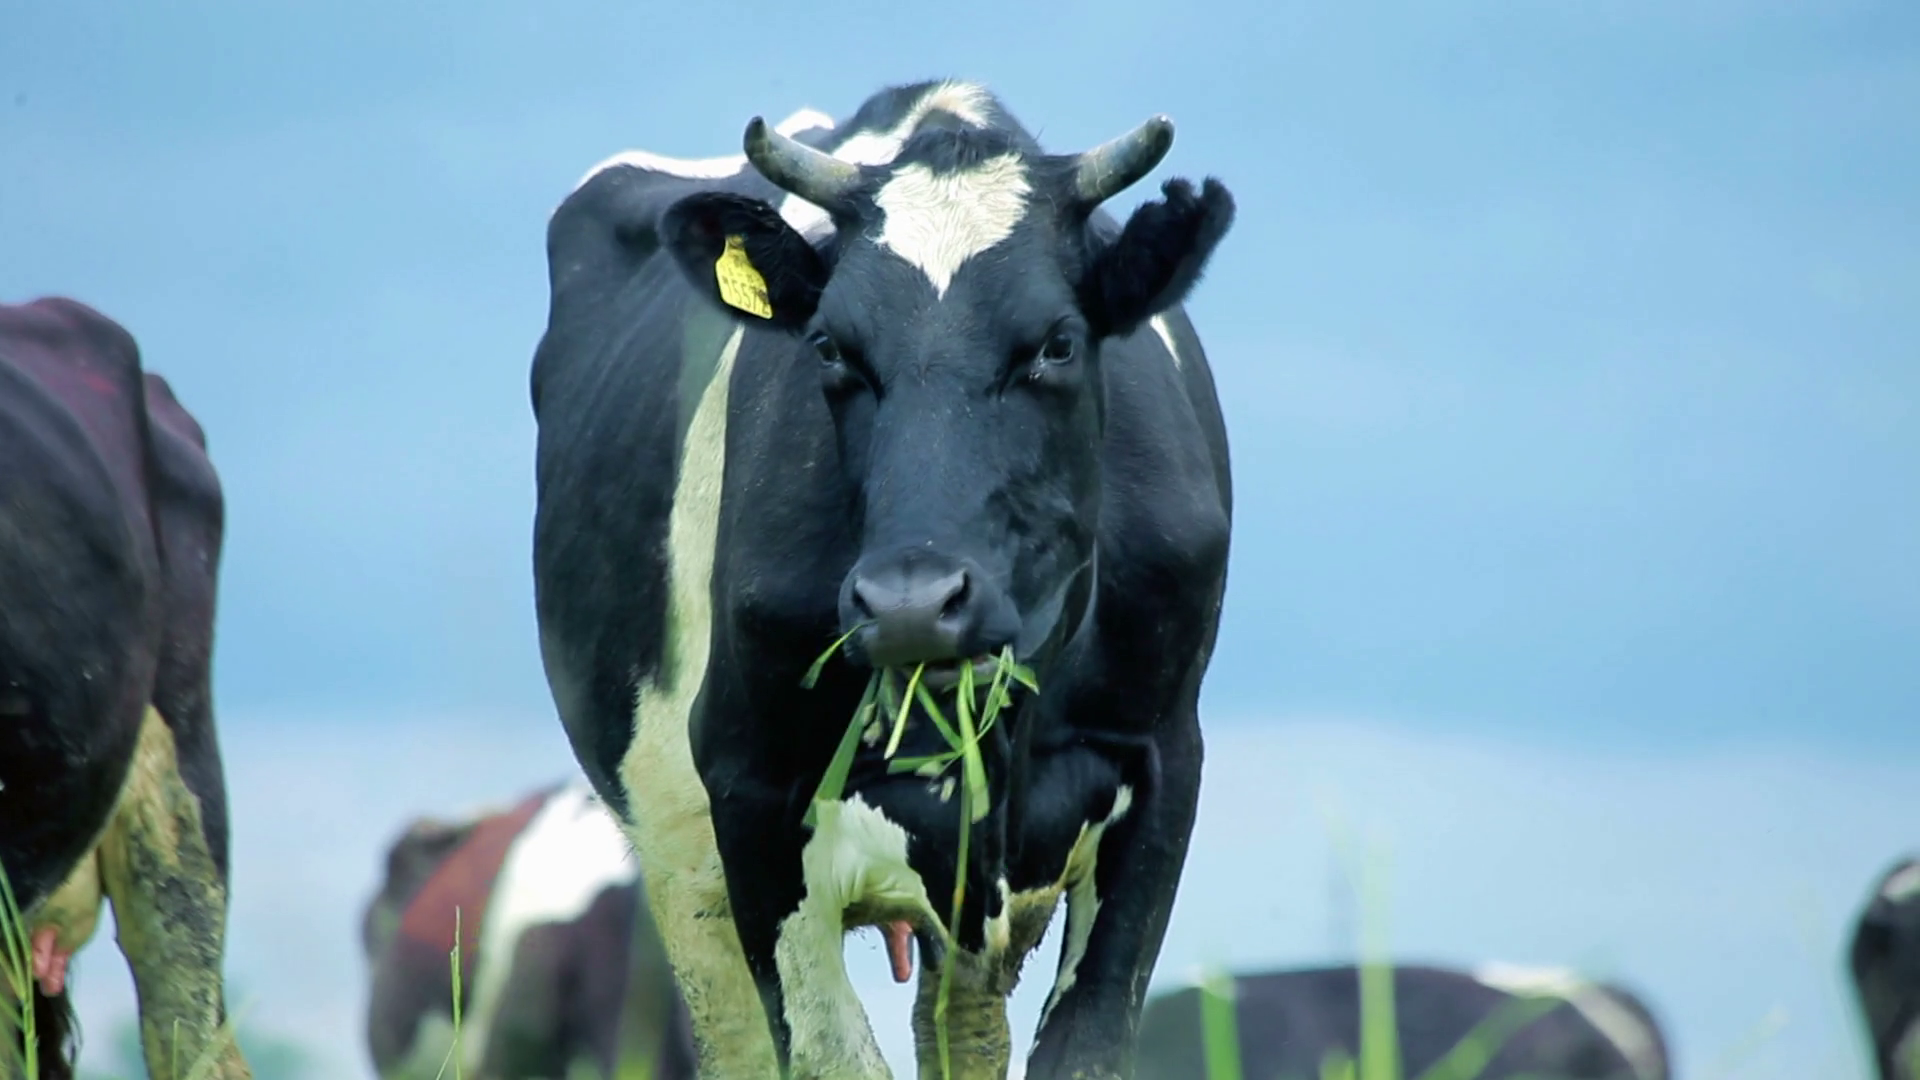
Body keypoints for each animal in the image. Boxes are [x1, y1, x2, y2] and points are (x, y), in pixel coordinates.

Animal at [528, 77, 1236, 1080]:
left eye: (1056, 345)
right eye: (830, 347)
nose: (912, 604)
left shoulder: (1162, 759)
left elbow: (1085, 1047)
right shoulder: (753, 792)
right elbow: (829, 1056)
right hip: (677, 860)